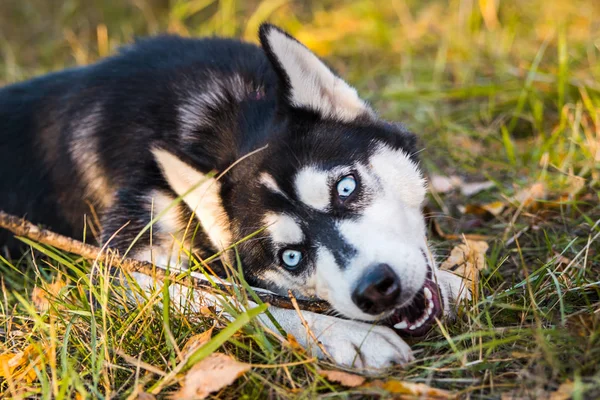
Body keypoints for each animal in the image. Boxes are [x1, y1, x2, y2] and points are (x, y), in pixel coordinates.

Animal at [0, 24, 466, 368]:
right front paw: (354, 336)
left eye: (346, 188)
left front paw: (449, 278)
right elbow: (245, 300)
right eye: (290, 257)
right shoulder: (129, 269)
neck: (218, 116)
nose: (377, 289)